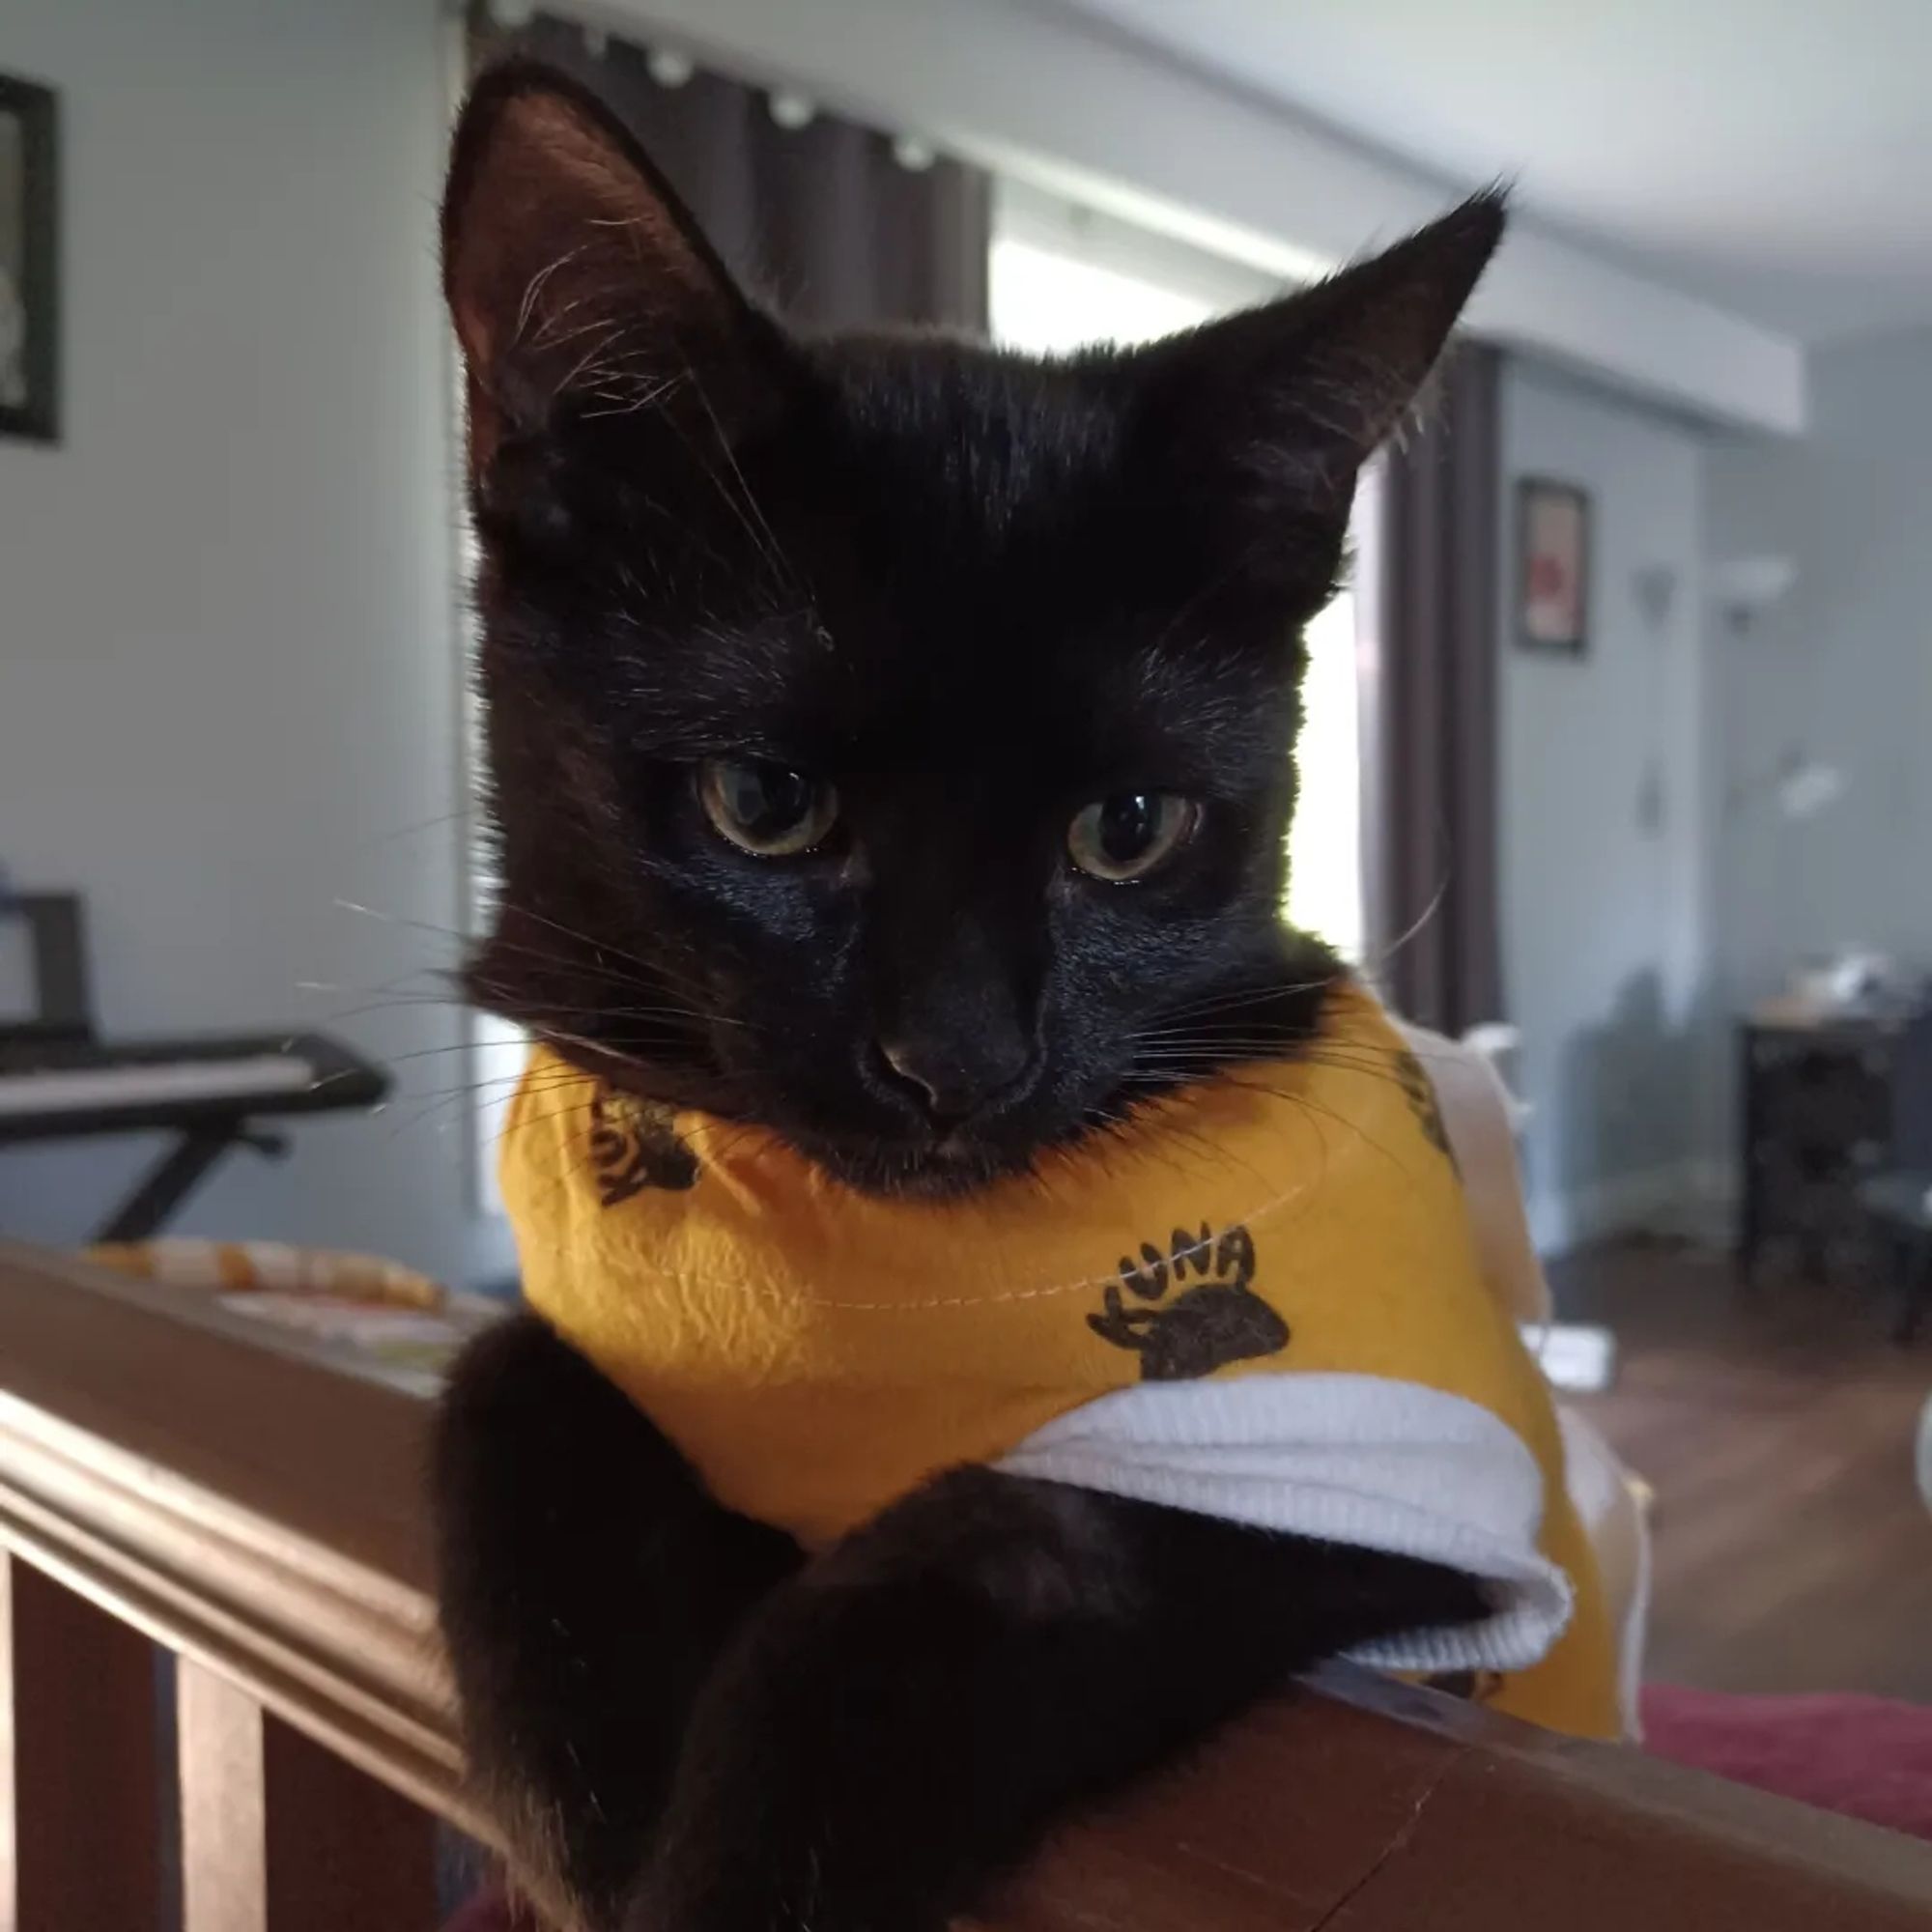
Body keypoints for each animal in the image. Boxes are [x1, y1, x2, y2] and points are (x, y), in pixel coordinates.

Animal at [442, 60, 1507, 1932]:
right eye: (766, 802)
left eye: (1130, 829)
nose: (958, 1061)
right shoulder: (600, 1330)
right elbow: (500, 1382)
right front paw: (580, 1809)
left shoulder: (1369, 1485)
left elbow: (984, 1561)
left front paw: (707, 1875)